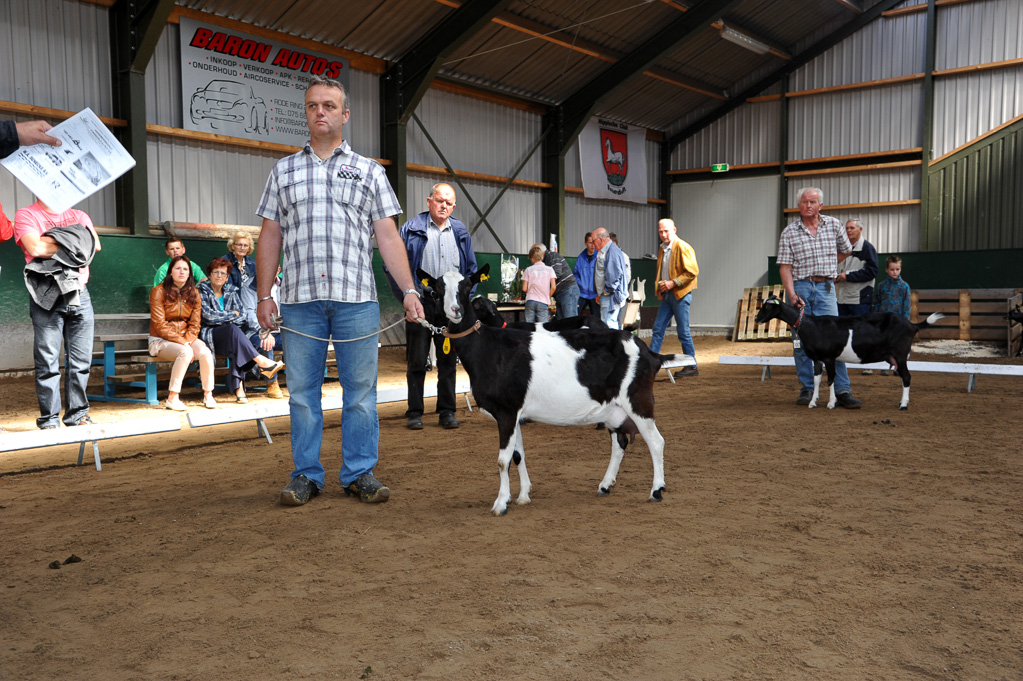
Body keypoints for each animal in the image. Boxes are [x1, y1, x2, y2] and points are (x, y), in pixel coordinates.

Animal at [421, 265, 695, 515]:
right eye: (437, 290)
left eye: (467, 287)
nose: (455, 311)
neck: (489, 347)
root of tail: (650, 352)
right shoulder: (516, 415)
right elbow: (518, 455)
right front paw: (522, 496)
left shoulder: (507, 412)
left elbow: (502, 460)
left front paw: (500, 504)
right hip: (614, 409)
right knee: (620, 442)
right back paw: (605, 485)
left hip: (638, 400)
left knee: (656, 441)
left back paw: (656, 490)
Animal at [752, 292, 941, 409]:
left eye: (767, 307)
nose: (756, 318)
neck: (811, 325)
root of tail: (912, 325)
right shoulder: (817, 359)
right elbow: (817, 380)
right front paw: (813, 402)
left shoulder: (829, 358)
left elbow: (831, 379)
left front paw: (831, 403)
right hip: (893, 357)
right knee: (903, 377)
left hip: (900, 355)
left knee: (907, 377)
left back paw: (903, 405)